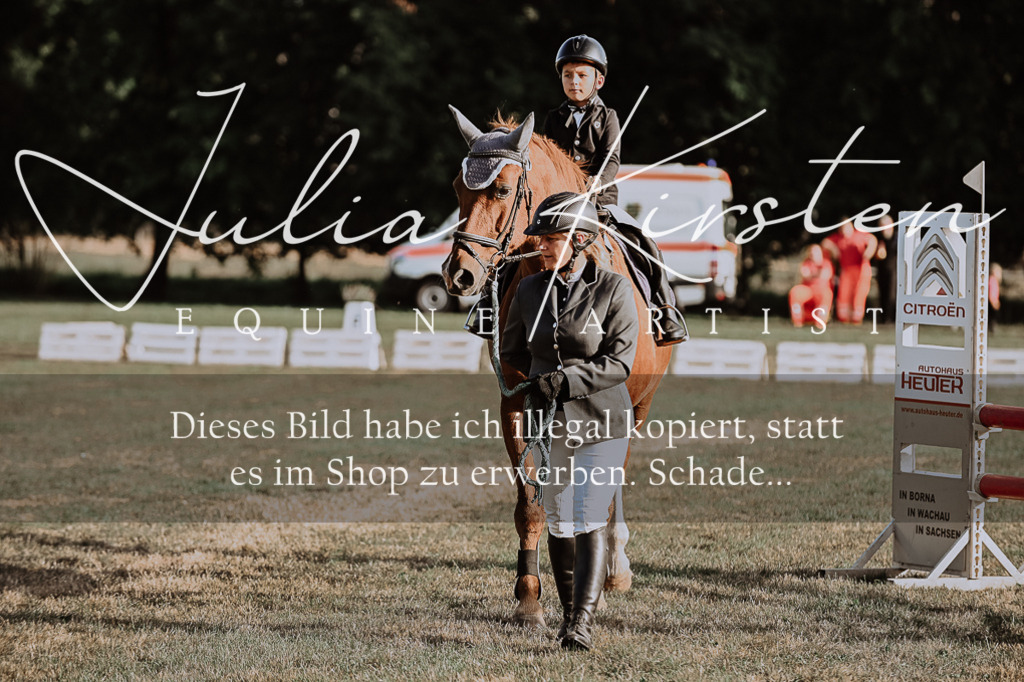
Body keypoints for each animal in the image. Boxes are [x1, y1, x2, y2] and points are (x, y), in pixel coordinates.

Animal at [443, 106, 672, 627]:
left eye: (502, 189)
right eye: (458, 188)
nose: (459, 274)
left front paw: (597, 586)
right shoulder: (517, 403)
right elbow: (529, 504)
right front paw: (529, 597)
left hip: (639, 407)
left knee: (612, 488)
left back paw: (613, 571)